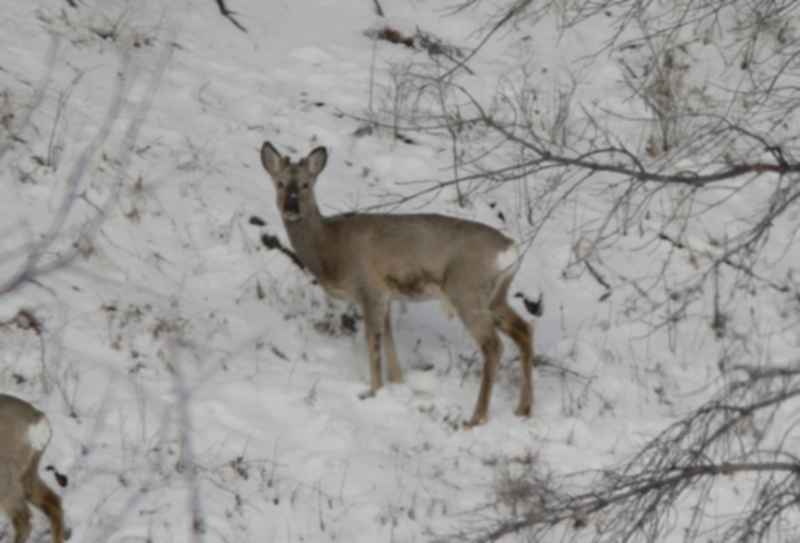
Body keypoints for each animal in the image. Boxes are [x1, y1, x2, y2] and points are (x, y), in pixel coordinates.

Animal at [262, 141, 536, 430]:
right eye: (280, 183)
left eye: (306, 184)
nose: (291, 208)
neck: (329, 247)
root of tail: (510, 251)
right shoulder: (386, 296)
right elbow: (388, 339)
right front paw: (397, 383)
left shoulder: (369, 288)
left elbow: (373, 341)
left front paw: (371, 391)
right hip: (496, 296)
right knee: (524, 330)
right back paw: (523, 409)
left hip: (467, 291)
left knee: (493, 346)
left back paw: (476, 418)